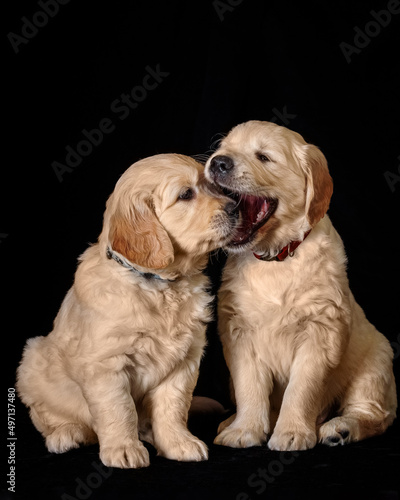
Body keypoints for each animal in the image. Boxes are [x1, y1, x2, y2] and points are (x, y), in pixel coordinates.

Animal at [17, 153, 239, 468]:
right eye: (185, 194)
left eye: (212, 185)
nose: (236, 207)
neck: (159, 284)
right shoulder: (107, 364)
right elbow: (119, 409)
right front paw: (123, 448)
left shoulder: (184, 361)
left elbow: (173, 407)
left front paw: (178, 443)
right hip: (33, 360)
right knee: (48, 416)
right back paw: (66, 433)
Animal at [206, 122, 396, 454]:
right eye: (223, 148)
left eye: (264, 156)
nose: (218, 162)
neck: (276, 258)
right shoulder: (239, 333)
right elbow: (248, 387)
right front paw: (245, 430)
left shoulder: (320, 332)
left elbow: (301, 389)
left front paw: (292, 432)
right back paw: (234, 421)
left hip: (375, 364)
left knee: (374, 415)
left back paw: (341, 428)